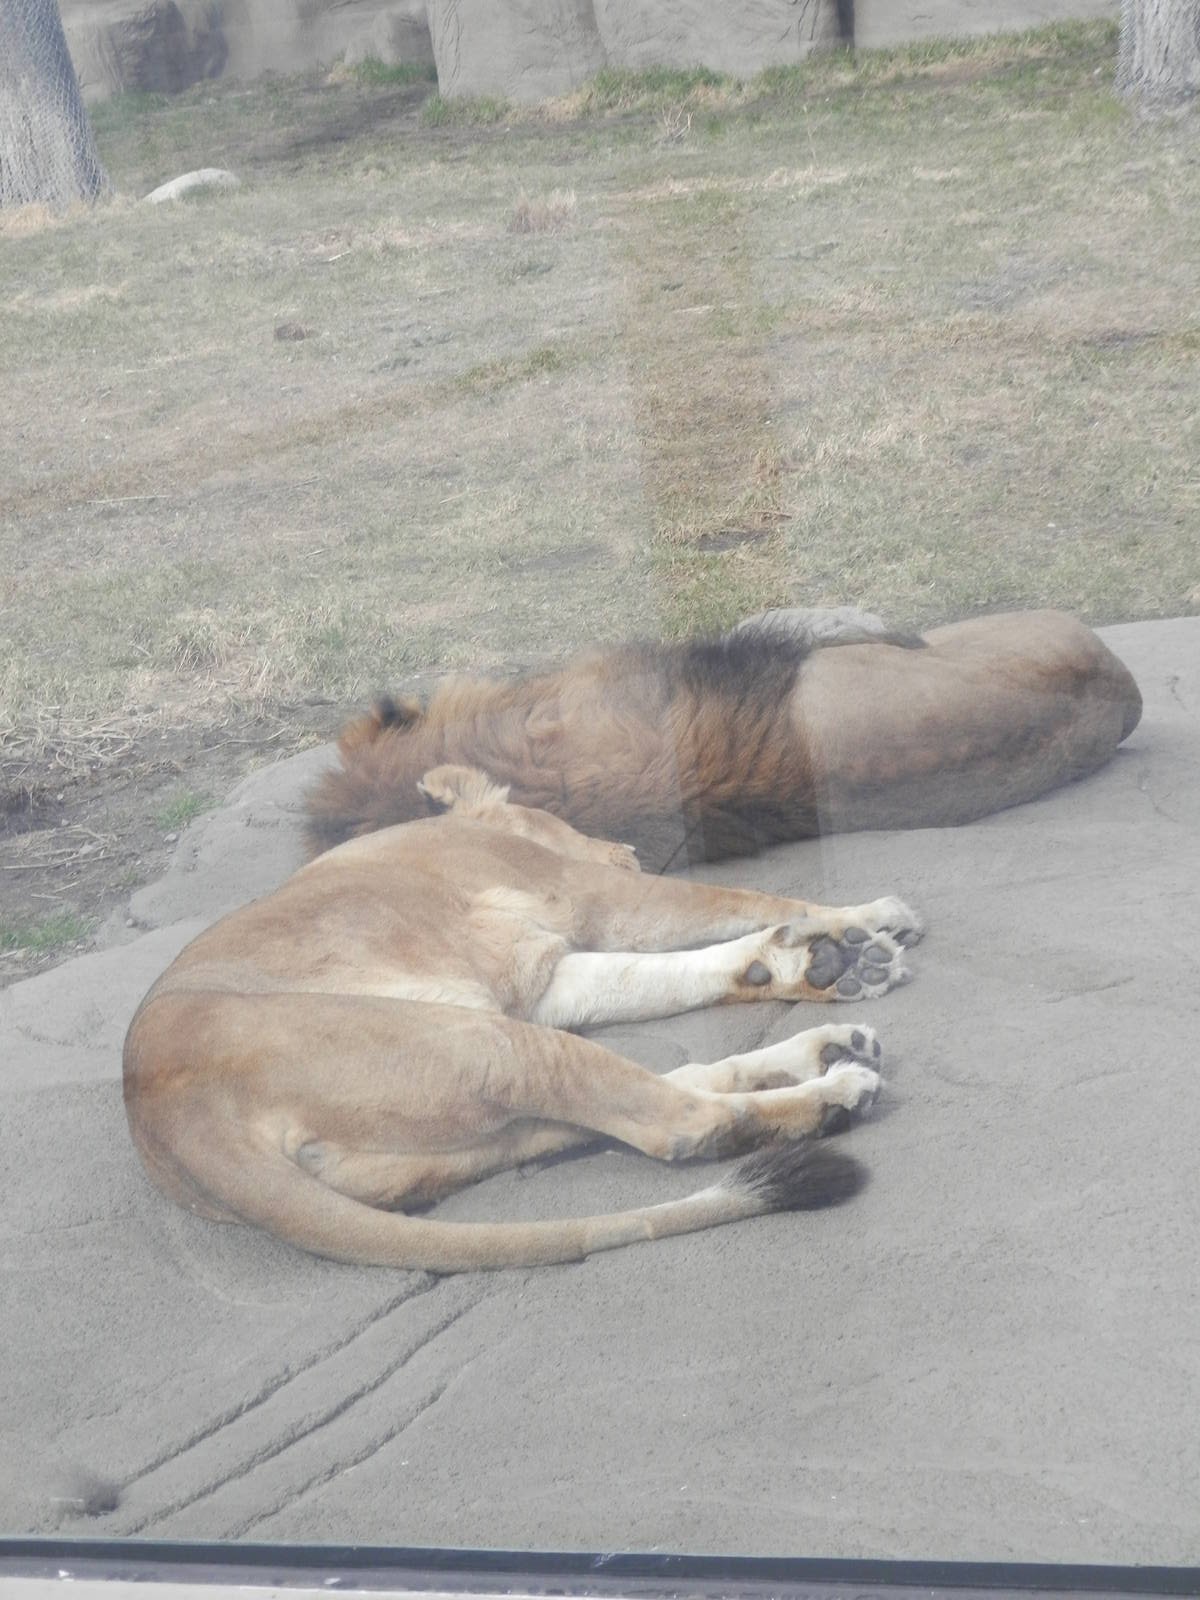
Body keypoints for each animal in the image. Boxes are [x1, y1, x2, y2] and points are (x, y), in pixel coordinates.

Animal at [124, 764, 924, 1273]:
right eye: (566, 817)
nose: (627, 849)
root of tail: (166, 1128)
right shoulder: (591, 894)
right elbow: (742, 901)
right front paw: (869, 918)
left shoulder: (549, 980)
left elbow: (662, 975)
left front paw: (817, 962)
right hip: (489, 1042)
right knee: (679, 1124)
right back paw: (835, 1090)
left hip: (460, 1133)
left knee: (644, 1101)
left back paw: (827, 1037)